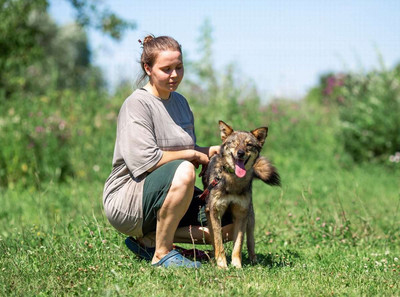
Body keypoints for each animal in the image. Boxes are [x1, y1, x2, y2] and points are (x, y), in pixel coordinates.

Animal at [202, 119, 280, 268]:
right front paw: (222, 266)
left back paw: (254, 261)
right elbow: (218, 243)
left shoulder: (241, 213)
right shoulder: (215, 211)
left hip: (250, 218)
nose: (240, 153)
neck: (233, 180)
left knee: (251, 242)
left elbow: (238, 245)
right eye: (234, 143)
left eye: (249, 144)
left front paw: (237, 266)